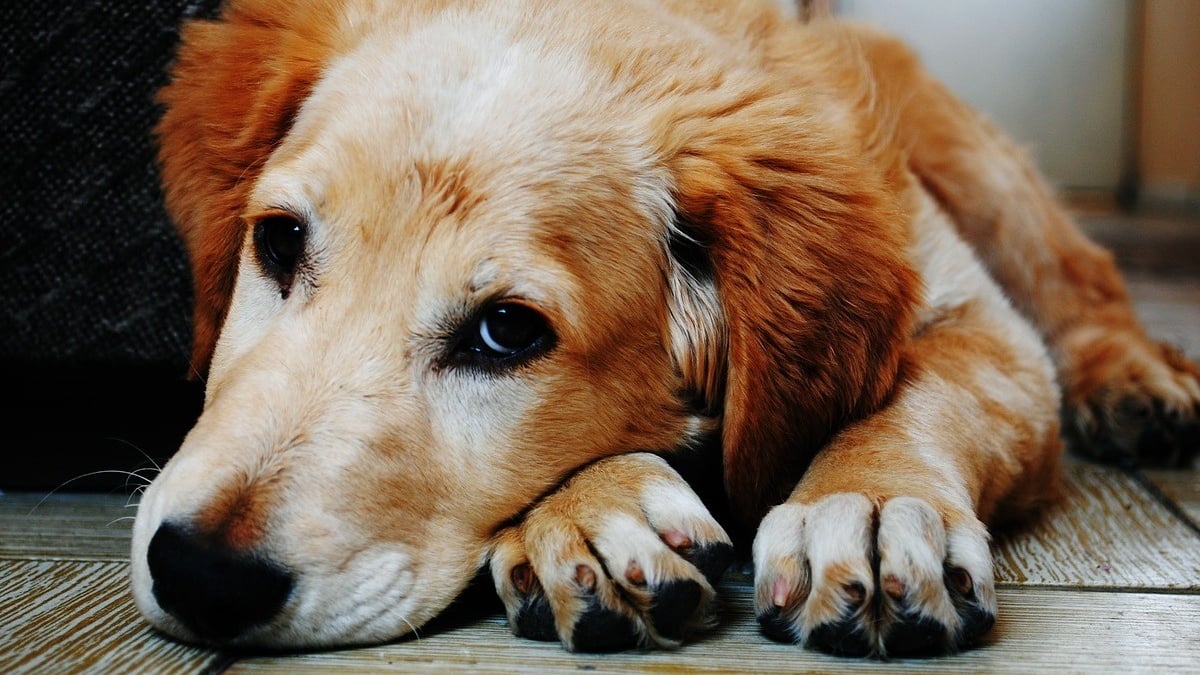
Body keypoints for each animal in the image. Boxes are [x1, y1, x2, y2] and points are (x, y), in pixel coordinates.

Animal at [126, 0, 1195, 653]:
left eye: (507, 332)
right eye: (278, 241)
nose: (199, 574)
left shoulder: (983, 324)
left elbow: (923, 392)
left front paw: (873, 503)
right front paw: (594, 513)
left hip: (977, 167)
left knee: (1084, 279)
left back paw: (1139, 384)